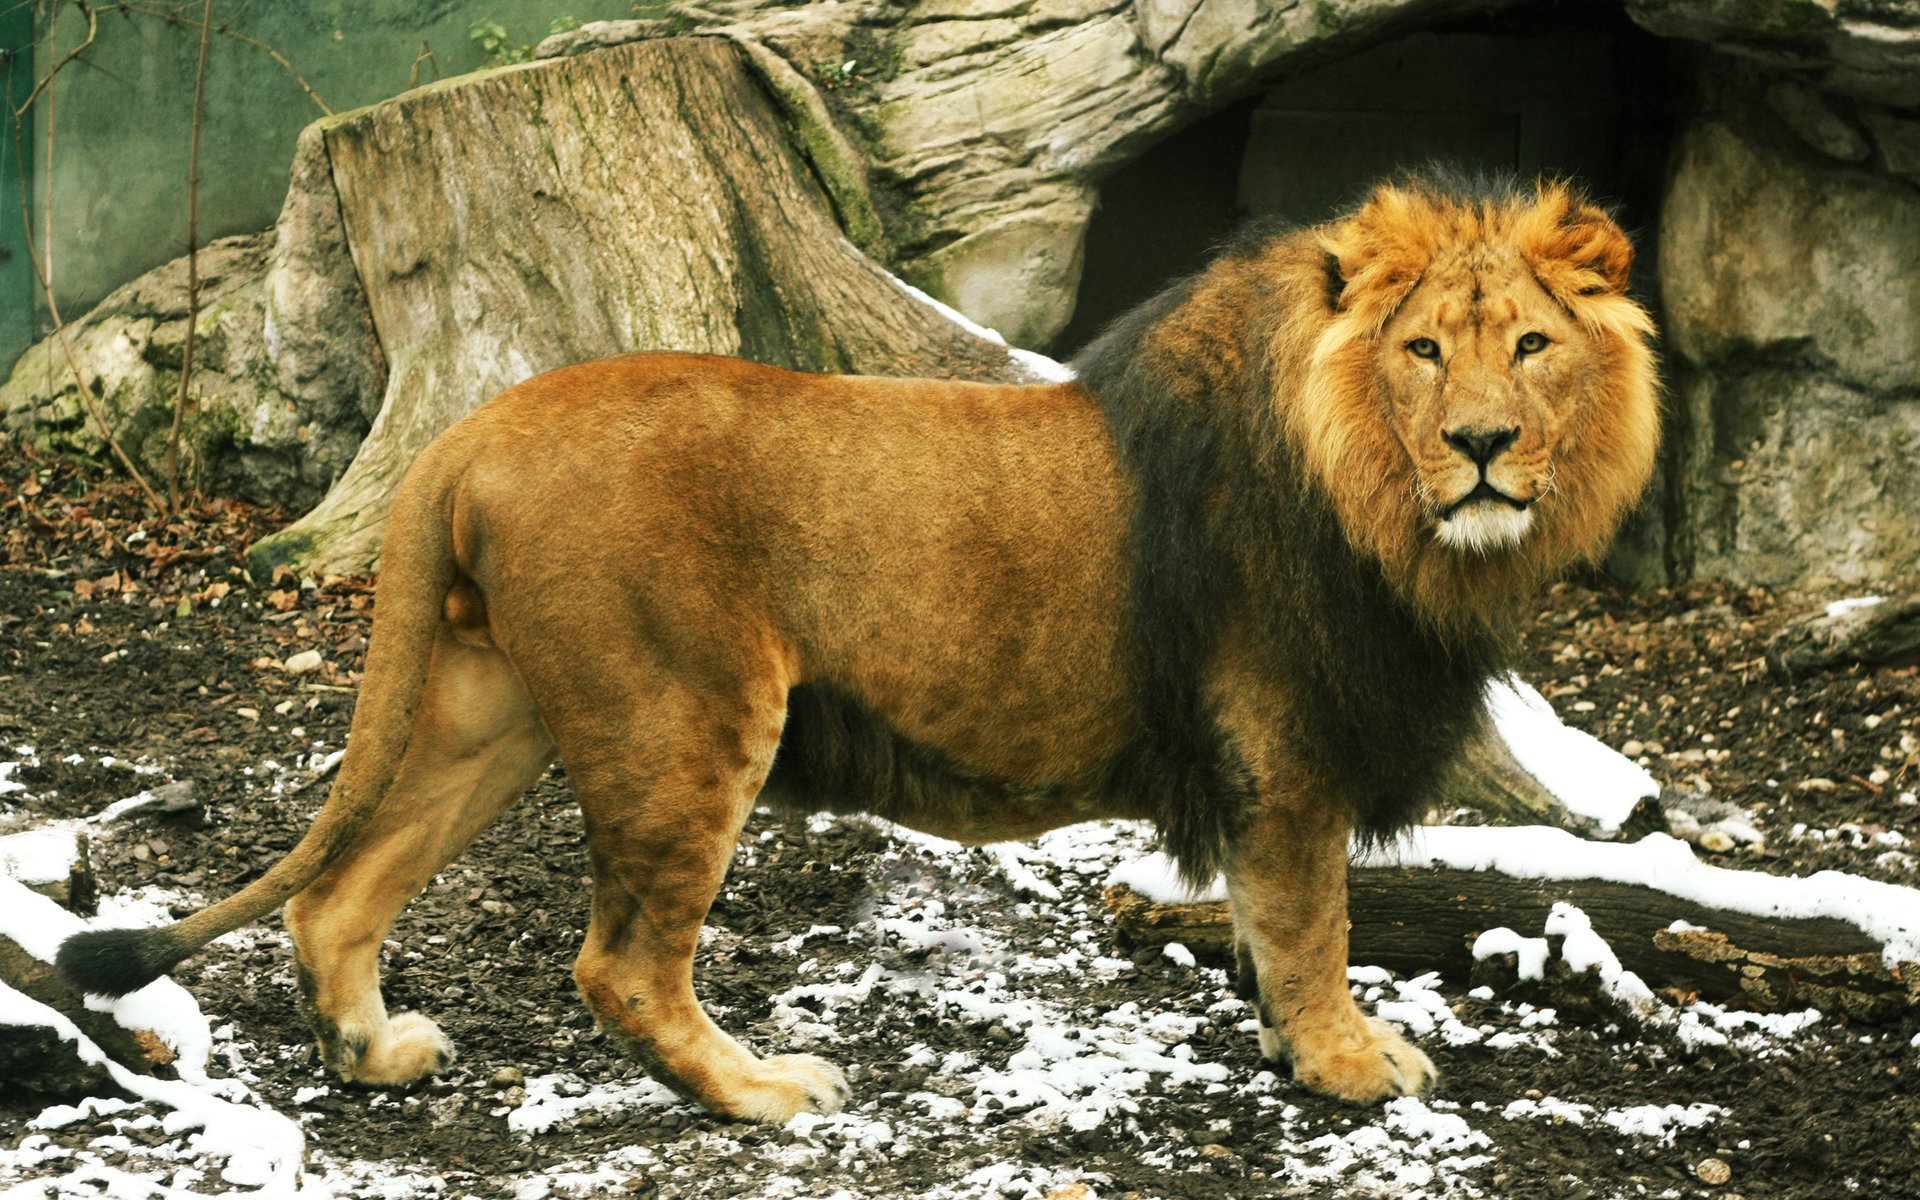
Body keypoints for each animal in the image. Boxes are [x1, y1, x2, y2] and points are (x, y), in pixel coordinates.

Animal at [52, 175, 1658, 1121]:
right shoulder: (1283, 737)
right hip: (684, 717)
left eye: (1530, 347)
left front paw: (1292, 1045)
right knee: (620, 965)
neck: (1384, 506)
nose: (1484, 447)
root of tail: (474, 426)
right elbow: (1313, 920)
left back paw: (373, 1053)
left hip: (490, 707)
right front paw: (1347, 1068)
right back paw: (761, 1092)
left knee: (342, 894)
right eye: (1423, 351)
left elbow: (1272, 927)